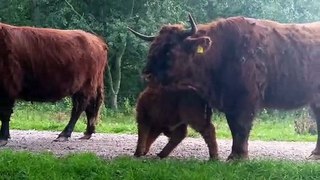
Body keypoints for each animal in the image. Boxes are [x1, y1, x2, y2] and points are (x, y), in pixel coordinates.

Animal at [128, 14, 320, 160]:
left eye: (169, 50)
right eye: (152, 48)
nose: (147, 74)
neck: (221, 52)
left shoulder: (246, 100)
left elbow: (241, 127)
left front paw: (238, 157)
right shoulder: (229, 102)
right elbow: (234, 127)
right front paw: (234, 155)